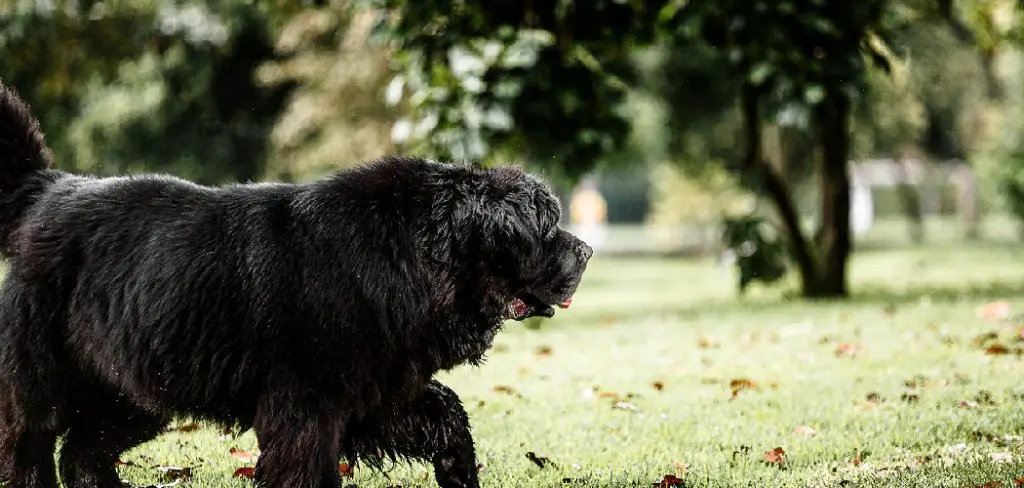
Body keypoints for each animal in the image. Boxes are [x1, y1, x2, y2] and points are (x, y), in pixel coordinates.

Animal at [0, 77, 593, 484]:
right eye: (546, 228)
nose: (586, 250)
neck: (405, 256)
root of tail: (49, 188)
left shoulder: (377, 387)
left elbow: (446, 411)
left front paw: (459, 470)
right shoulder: (306, 404)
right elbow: (306, 468)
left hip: (134, 386)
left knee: (84, 450)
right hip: (44, 372)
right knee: (29, 439)